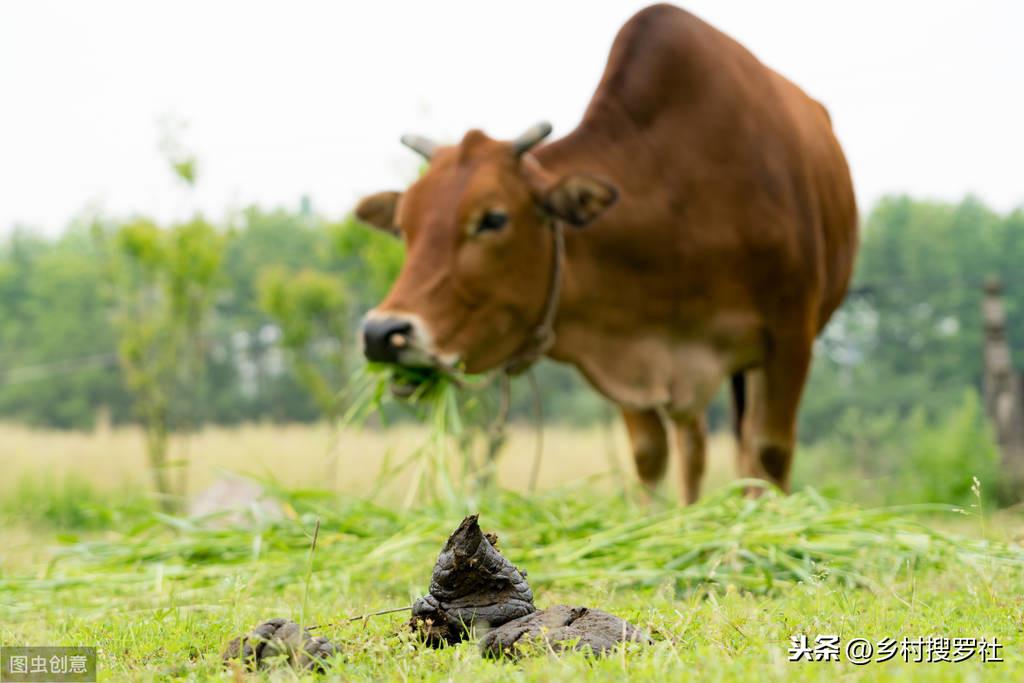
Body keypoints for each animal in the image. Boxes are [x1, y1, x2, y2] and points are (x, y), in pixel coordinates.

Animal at [352, 3, 856, 501]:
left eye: (493, 218)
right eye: (404, 226)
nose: (382, 333)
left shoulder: (791, 337)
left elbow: (769, 453)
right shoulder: (625, 344)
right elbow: (650, 455)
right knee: (692, 444)